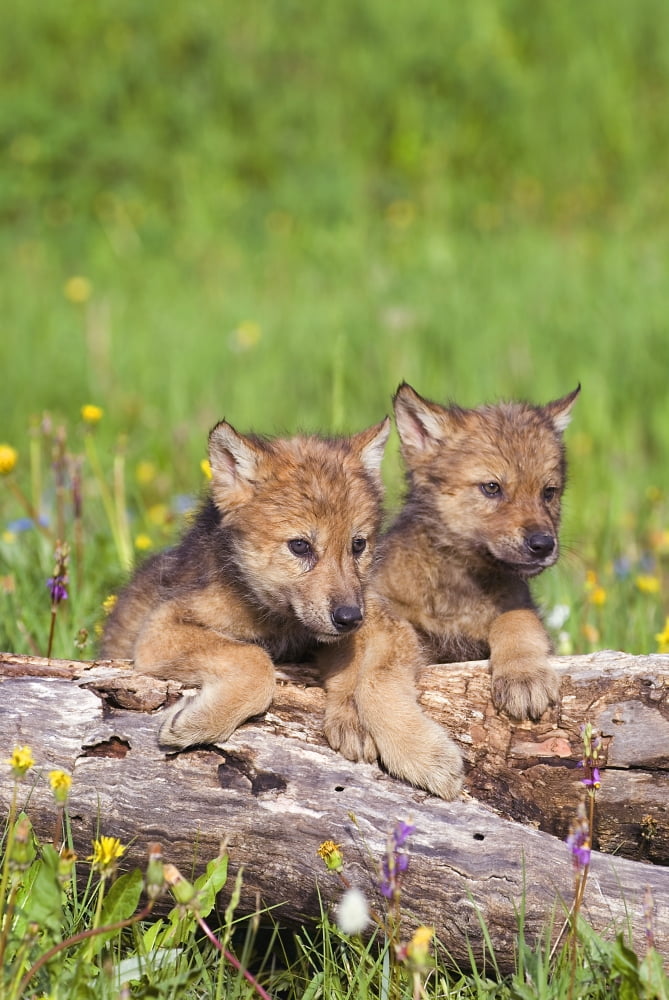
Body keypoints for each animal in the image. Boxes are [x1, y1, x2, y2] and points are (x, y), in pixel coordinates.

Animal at [101, 417, 390, 749]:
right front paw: (200, 723)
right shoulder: (160, 628)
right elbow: (254, 658)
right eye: (300, 546)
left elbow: (355, 663)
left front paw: (352, 719)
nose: (349, 617)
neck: (277, 623)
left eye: (358, 545)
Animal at [322, 382, 579, 798]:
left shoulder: (514, 607)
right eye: (492, 488)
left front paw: (523, 677)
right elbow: (368, 664)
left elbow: (515, 621)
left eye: (549, 492)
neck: (456, 587)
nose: (543, 544)